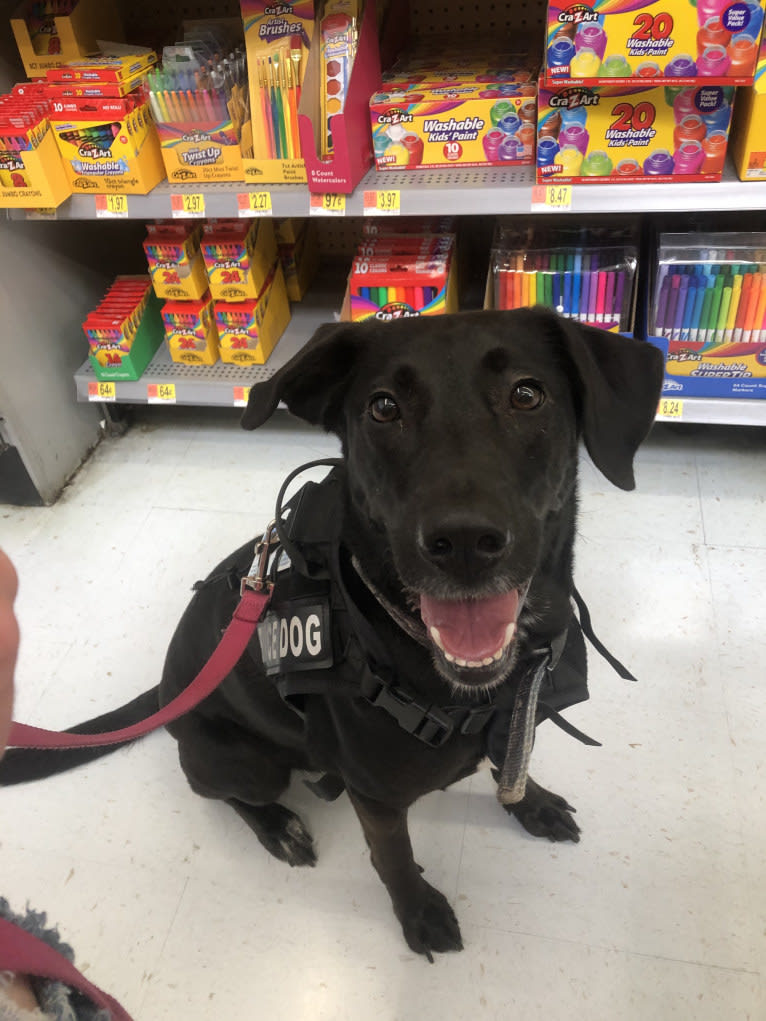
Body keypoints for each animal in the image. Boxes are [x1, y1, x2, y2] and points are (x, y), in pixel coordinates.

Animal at [1, 306, 665, 959]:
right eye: (383, 408)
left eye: (527, 395)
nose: (464, 542)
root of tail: (169, 689)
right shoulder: (375, 797)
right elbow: (393, 857)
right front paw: (418, 914)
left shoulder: (519, 712)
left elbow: (513, 764)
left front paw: (533, 803)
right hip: (243, 761)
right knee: (214, 789)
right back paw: (277, 827)